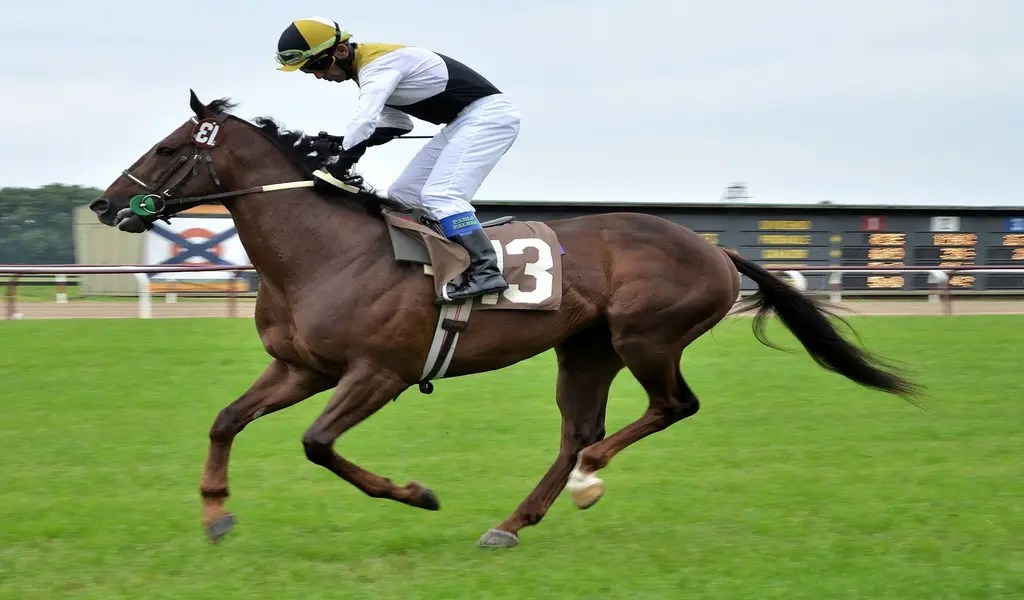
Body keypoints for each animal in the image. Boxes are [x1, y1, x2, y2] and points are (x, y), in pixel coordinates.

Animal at [89, 90, 919, 549]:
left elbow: (318, 444)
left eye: (168, 148)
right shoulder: (301, 366)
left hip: (646, 337)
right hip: (585, 349)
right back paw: (514, 522)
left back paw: (587, 481)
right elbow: (227, 420)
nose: (103, 203)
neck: (323, 252)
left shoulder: (378, 373)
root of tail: (715, 248)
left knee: (668, 407)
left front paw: (417, 493)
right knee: (578, 430)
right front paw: (216, 516)